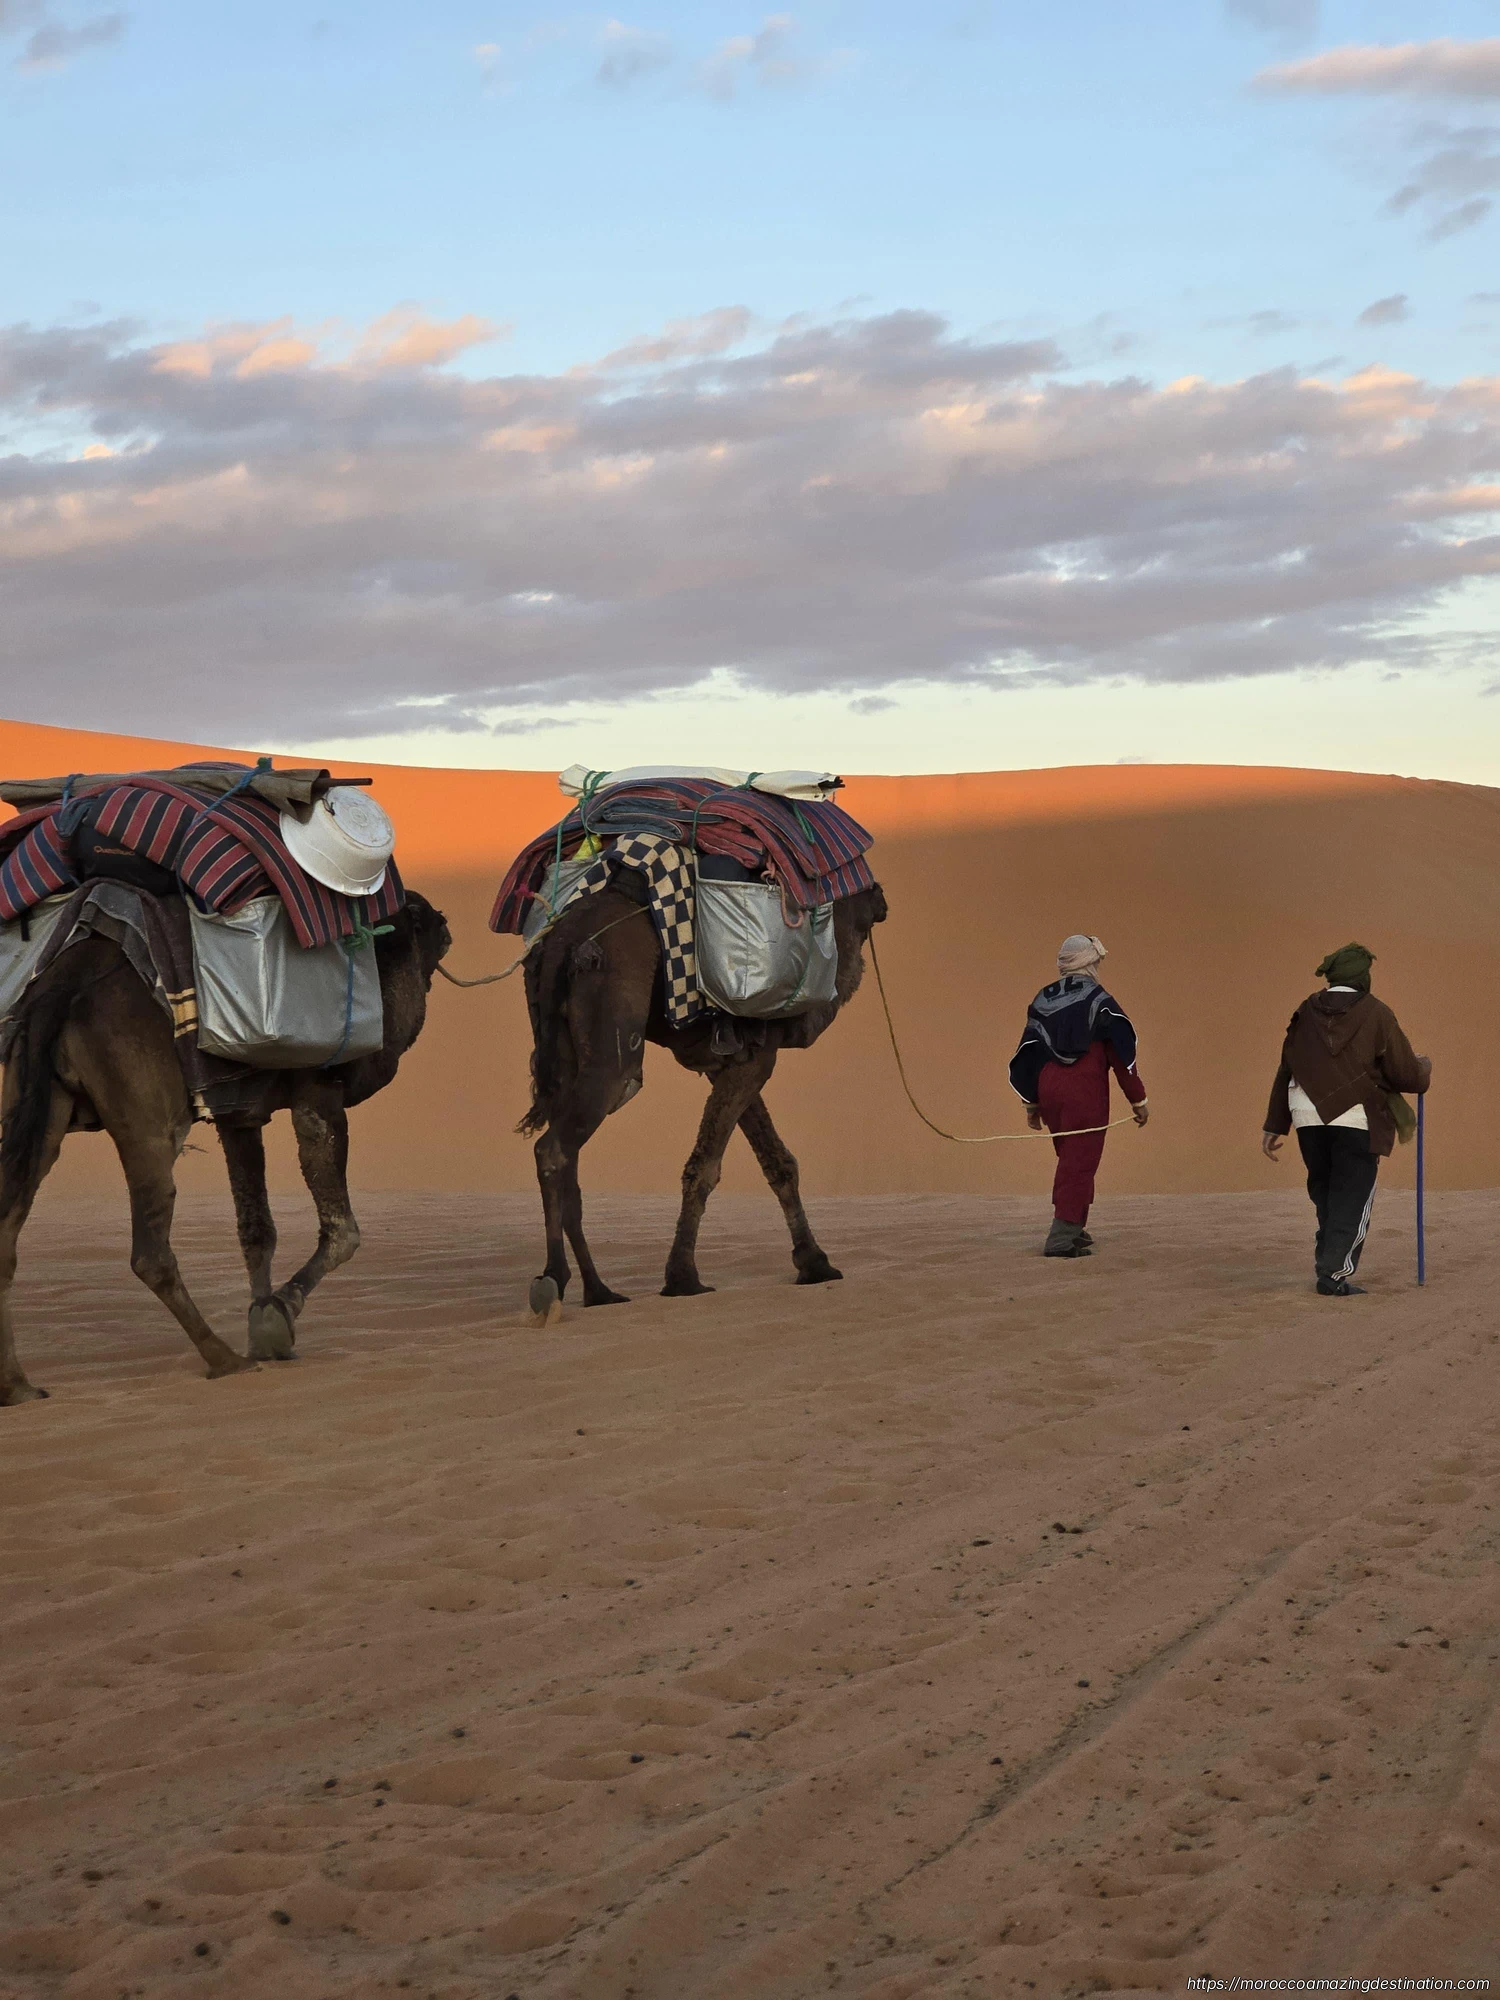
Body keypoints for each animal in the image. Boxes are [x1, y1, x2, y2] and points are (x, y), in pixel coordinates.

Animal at [0, 892, 450, 1405]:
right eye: (420, 918)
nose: (446, 924)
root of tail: (60, 984)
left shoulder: (239, 1109)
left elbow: (256, 1230)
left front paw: (264, 1327)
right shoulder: (317, 1089)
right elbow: (343, 1229)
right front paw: (277, 1318)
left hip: (36, 1101)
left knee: (8, 1227)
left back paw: (18, 1385)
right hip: (148, 1119)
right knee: (150, 1251)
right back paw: (223, 1359)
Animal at [521, 877, 887, 1309]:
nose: (880, 898)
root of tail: (562, 940)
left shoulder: (731, 1060)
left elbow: (777, 1162)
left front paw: (814, 1262)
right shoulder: (755, 1059)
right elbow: (705, 1167)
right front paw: (682, 1277)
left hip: (560, 1048)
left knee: (569, 1159)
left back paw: (599, 1291)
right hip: (610, 1035)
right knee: (556, 1145)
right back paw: (555, 1279)